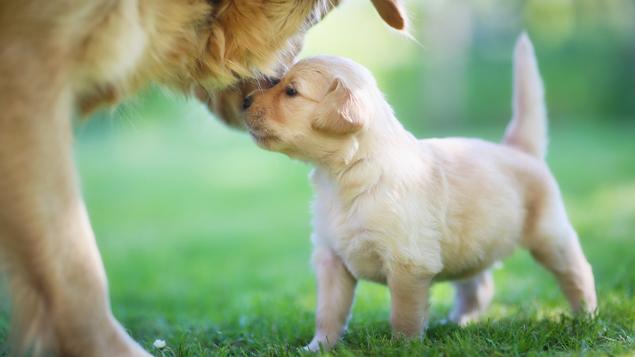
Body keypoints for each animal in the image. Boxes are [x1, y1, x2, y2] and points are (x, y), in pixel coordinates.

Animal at [246, 34, 600, 350]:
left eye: (291, 91)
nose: (244, 101)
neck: (347, 174)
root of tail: (519, 149)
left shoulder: (408, 263)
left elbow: (403, 314)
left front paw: (403, 346)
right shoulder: (331, 259)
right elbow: (328, 312)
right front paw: (318, 346)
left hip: (549, 235)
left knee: (577, 271)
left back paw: (587, 317)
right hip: (472, 244)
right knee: (479, 284)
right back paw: (458, 322)